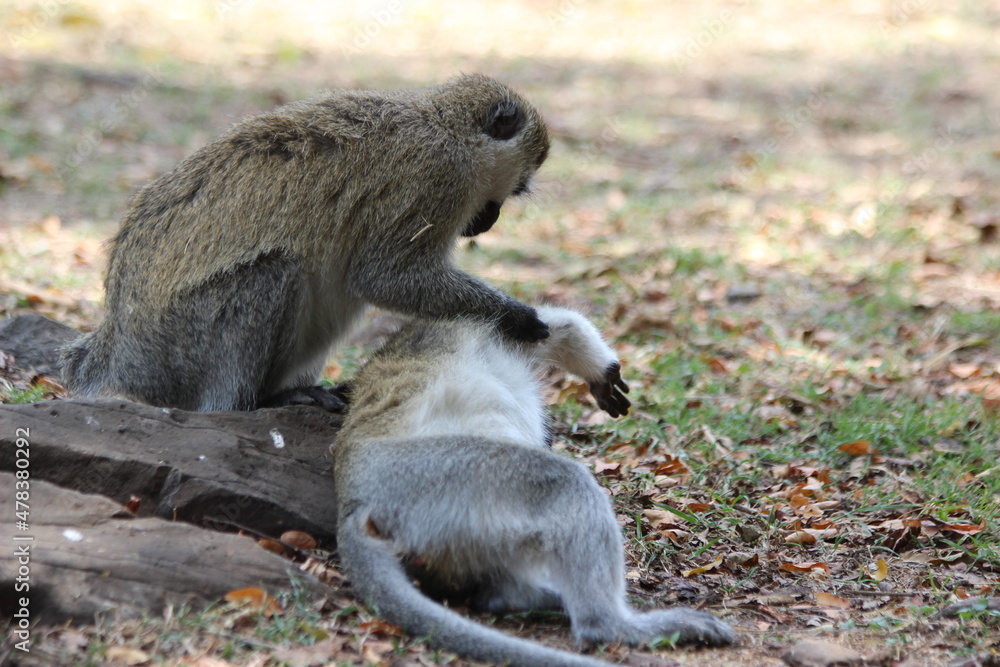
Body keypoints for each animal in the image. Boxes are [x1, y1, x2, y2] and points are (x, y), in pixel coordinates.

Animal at [60, 74, 551, 412]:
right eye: (518, 186)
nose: (488, 220)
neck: (447, 126)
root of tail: (117, 345)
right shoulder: (438, 179)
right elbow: (384, 277)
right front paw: (518, 317)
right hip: (176, 347)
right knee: (273, 274)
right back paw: (259, 402)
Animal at [334, 306, 736, 667]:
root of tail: (353, 497)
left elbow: (553, 328)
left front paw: (602, 371)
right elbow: (552, 322)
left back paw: (511, 598)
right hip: (434, 477)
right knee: (563, 484)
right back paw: (611, 625)